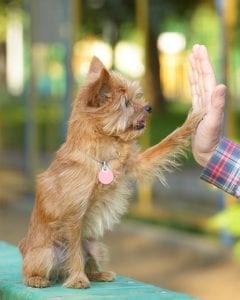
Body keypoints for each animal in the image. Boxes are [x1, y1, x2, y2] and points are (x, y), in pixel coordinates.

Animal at [18, 56, 203, 288]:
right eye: (125, 103)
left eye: (135, 97)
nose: (149, 107)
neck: (102, 156)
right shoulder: (73, 216)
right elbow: (74, 251)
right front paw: (77, 280)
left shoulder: (137, 163)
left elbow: (167, 143)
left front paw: (191, 122)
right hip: (46, 253)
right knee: (34, 270)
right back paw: (38, 279)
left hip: (96, 246)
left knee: (88, 259)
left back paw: (98, 274)